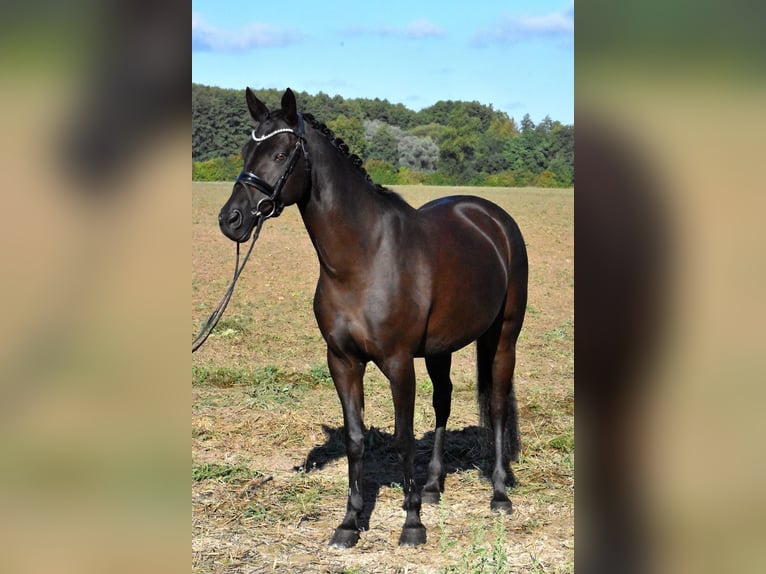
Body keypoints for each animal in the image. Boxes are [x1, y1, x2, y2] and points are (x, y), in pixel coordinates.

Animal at [216, 89, 528, 548]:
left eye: (279, 153)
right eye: (244, 151)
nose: (231, 219)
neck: (363, 258)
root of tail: (493, 218)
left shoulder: (398, 363)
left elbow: (402, 438)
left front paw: (412, 524)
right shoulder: (343, 361)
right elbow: (355, 439)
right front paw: (349, 523)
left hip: (502, 338)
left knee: (499, 406)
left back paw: (499, 493)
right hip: (440, 350)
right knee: (444, 402)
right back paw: (432, 487)